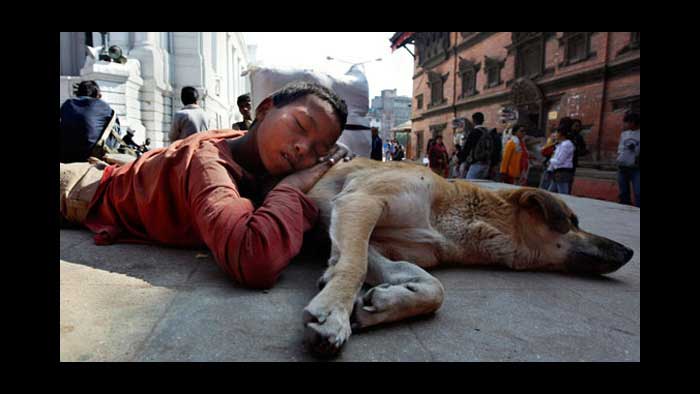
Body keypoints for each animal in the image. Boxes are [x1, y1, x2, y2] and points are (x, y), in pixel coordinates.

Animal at [300, 157, 636, 358]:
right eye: (573, 221)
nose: (630, 250)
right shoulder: (361, 201)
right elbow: (353, 265)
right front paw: (334, 312)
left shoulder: (380, 244)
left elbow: (434, 288)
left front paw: (386, 302)